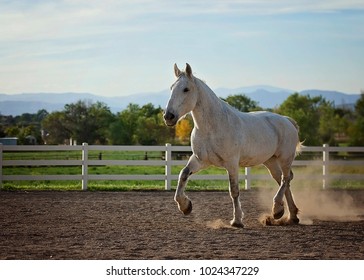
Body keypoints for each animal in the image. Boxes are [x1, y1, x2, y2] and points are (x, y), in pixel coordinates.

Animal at [164, 63, 302, 228]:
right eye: (171, 87)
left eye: (186, 89)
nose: (168, 116)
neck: (212, 127)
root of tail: (288, 121)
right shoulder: (200, 160)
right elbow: (183, 174)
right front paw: (185, 206)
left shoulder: (232, 163)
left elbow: (234, 190)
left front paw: (237, 221)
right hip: (271, 161)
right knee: (283, 179)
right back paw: (290, 216)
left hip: (285, 158)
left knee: (286, 178)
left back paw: (277, 210)